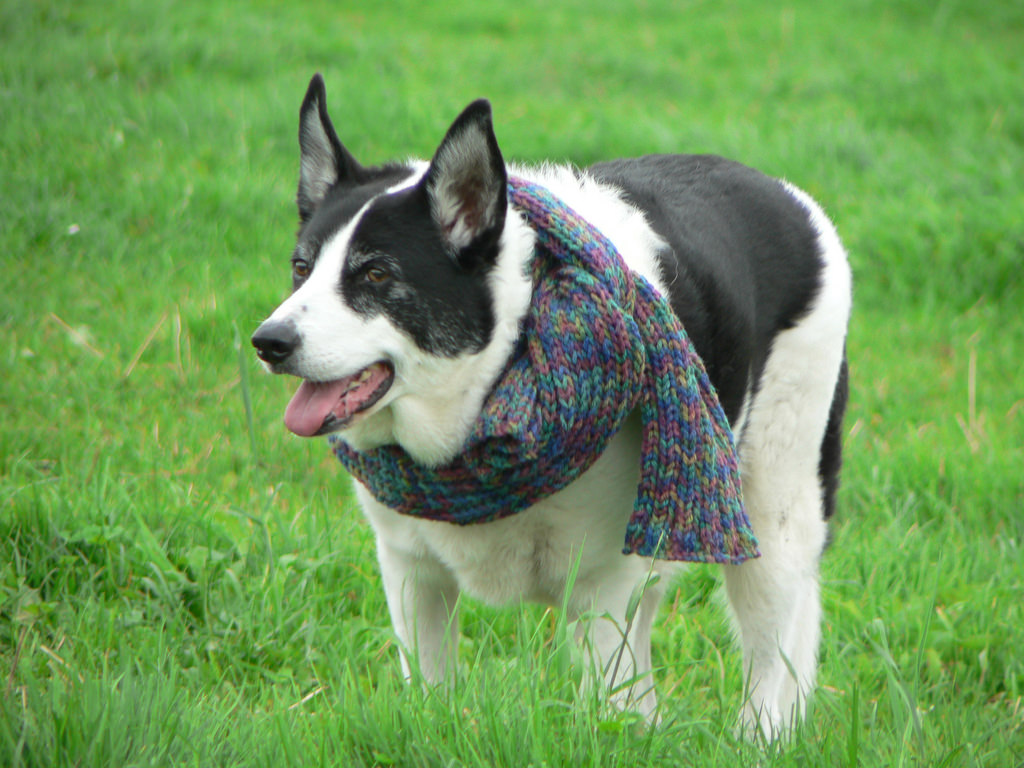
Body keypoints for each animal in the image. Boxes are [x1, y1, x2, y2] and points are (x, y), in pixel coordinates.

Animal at [251, 76, 851, 741]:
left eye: (377, 275)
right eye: (301, 268)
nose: (269, 342)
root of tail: (790, 198)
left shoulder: (600, 592)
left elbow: (607, 710)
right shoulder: (412, 572)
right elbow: (432, 689)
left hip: (773, 511)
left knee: (772, 654)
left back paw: (761, 738)